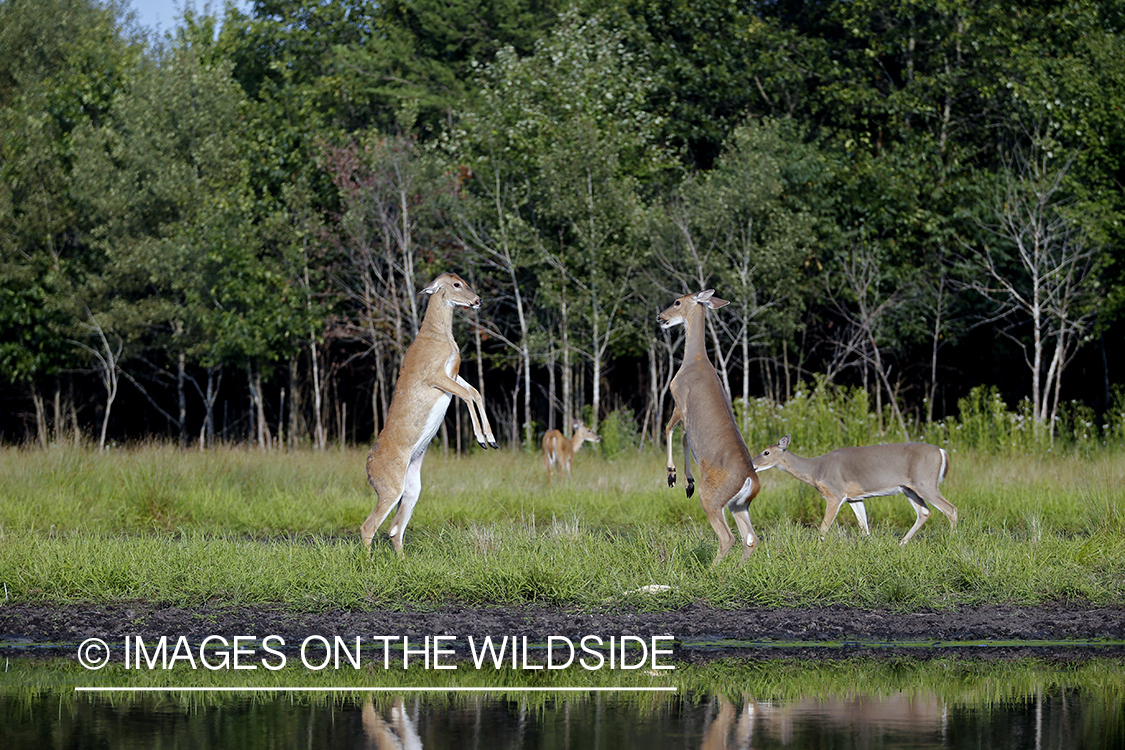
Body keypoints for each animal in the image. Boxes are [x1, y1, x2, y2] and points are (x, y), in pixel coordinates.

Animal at [362, 273, 499, 555]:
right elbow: (468, 395)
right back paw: (367, 562)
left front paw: (491, 439)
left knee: (394, 529)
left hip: (412, 486)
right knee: (369, 526)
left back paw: (402, 561)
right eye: (456, 284)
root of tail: (367, 468)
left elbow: (476, 392)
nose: (478, 300)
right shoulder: (434, 375)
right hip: (389, 486)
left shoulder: (453, 373)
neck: (439, 335)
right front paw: (480, 439)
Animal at [657, 290, 760, 566]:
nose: (660, 317)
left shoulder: (680, 400)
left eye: (677, 302)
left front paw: (672, 475)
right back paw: (737, 570)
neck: (695, 360)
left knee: (728, 538)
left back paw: (711, 571)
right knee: (751, 538)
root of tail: (752, 479)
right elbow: (683, 438)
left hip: (712, 496)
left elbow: (669, 431)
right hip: (739, 504)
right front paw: (687, 482)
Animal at [747, 434, 958, 546]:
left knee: (951, 509)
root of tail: (942, 452)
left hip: (925, 482)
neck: (815, 470)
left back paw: (951, 540)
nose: (752, 465)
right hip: (909, 488)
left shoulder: (835, 493)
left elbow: (824, 526)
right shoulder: (854, 498)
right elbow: (864, 526)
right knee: (924, 512)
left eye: (766, 452)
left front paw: (817, 549)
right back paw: (901, 544)